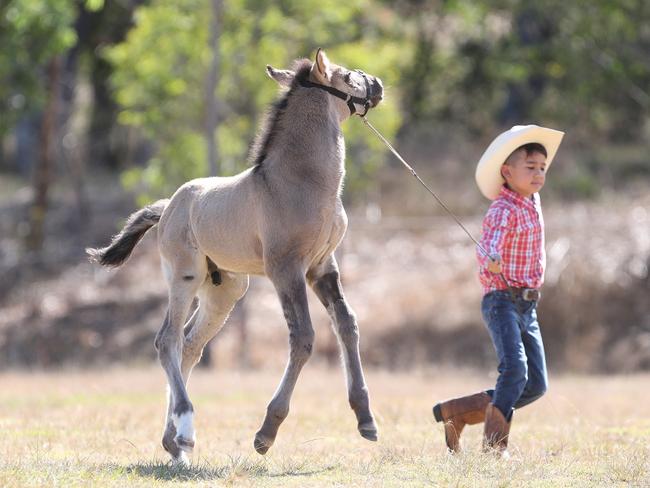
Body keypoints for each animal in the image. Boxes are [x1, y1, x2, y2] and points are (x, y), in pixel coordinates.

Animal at [88, 48, 382, 462]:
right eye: (347, 76)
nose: (378, 85)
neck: (301, 184)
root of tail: (169, 206)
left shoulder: (323, 267)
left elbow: (347, 325)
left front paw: (365, 418)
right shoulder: (285, 269)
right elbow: (303, 337)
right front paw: (267, 432)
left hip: (225, 290)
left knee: (190, 346)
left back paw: (174, 443)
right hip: (185, 277)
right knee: (167, 341)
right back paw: (186, 426)